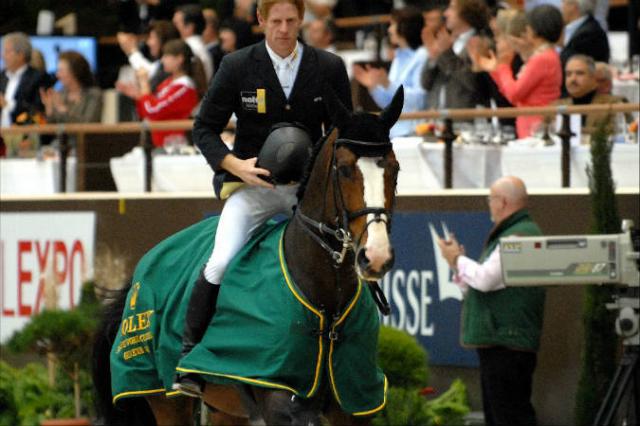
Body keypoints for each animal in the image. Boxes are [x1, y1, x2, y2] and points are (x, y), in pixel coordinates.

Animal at [93, 85, 404, 426]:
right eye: (345, 169)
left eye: (395, 169)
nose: (376, 256)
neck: (324, 299)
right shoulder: (280, 399)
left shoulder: (352, 401)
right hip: (164, 400)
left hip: (225, 408)